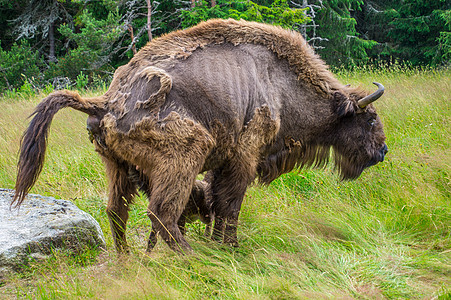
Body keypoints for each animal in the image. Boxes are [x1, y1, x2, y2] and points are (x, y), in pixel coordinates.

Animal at [13, 18, 388, 253]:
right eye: (370, 120)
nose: (383, 151)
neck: (280, 83)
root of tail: (105, 101)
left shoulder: (221, 164)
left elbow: (216, 203)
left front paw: (218, 242)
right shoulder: (243, 158)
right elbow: (230, 205)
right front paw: (231, 247)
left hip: (115, 167)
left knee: (116, 211)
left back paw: (128, 259)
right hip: (186, 154)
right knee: (161, 213)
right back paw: (189, 255)